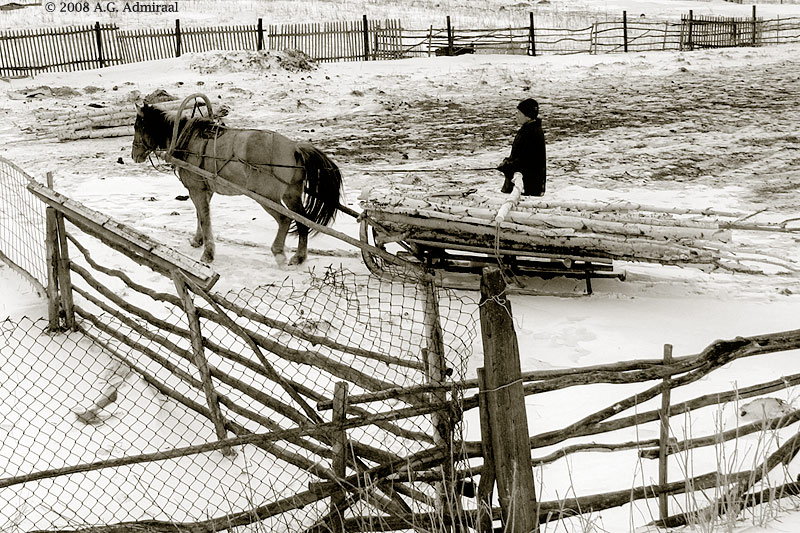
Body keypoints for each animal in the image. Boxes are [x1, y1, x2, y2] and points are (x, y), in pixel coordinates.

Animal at [130, 102, 342, 266]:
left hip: (265, 196)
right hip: (291, 193)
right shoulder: (204, 190)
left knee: (284, 219)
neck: (186, 139)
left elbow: (205, 219)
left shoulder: (197, 189)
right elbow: (200, 215)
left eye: (137, 126)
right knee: (302, 219)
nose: (134, 155)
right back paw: (299, 257)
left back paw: (279, 253)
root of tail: (294, 147)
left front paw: (208, 254)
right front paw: (198, 240)